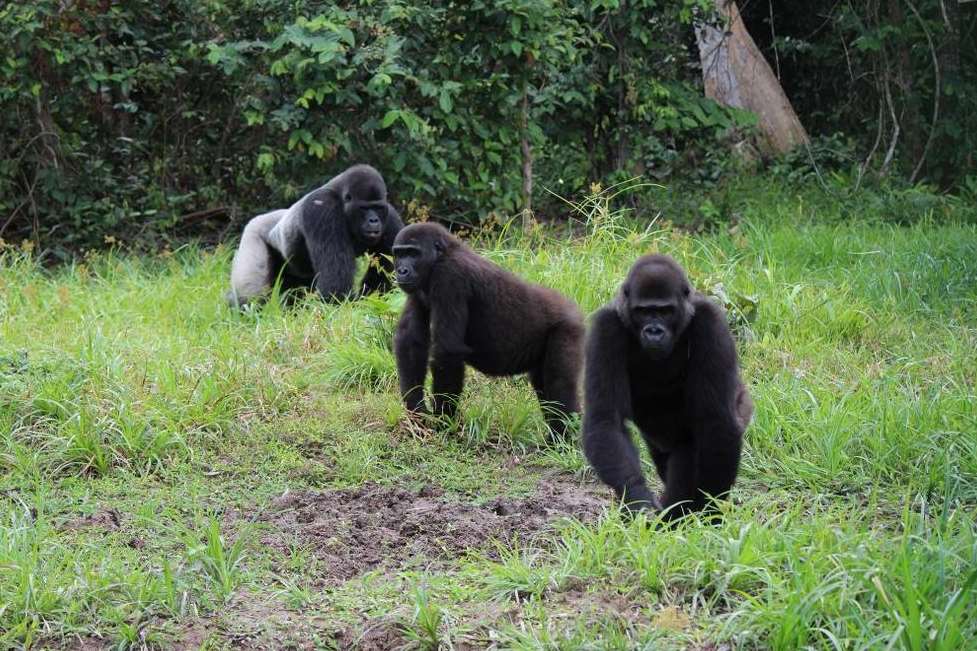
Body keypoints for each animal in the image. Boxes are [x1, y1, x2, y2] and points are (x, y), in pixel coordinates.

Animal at [225, 162, 400, 306]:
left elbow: (383, 277)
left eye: (378, 207)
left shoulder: (391, 219)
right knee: (251, 296)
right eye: (364, 208)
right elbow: (335, 286)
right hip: (253, 233)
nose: (374, 220)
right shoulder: (322, 207)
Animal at [392, 223, 584, 444]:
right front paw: (416, 410)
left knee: (560, 384)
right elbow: (410, 341)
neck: (442, 255)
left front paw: (444, 423)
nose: (401, 271)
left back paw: (564, 438)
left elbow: (447, 351)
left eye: (413, 253)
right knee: (544, 384)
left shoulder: (450, 277)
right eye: (399, 254)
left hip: (568, 328)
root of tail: (576, 310)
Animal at [580, 253, 756, 520]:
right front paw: (638, 500)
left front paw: (708, 511)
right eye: (643, 311)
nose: (654, 331)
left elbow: (716, 421)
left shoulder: (711, 321)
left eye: (665, 311)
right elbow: (605, 419)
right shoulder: (605, 326)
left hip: (743, 403)